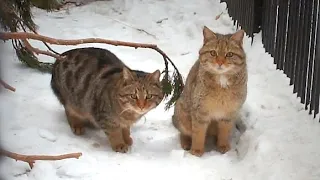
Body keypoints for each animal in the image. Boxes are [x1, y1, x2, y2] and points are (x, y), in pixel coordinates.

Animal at [172, 26, 248, 157]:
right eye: (213, 53)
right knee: (184, 132)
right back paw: (186, 143)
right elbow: (198, 133)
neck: (222, 81)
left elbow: (224, 132)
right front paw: (196, 151)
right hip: (182, 111)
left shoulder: (228, 114)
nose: (220, 62)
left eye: (229, 54)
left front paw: (223, 146)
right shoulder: (200, 111)